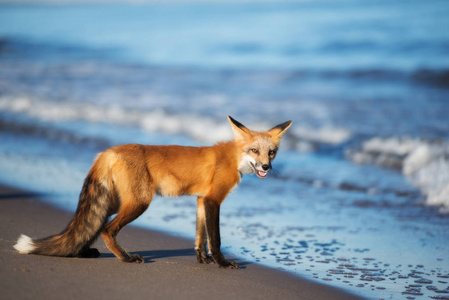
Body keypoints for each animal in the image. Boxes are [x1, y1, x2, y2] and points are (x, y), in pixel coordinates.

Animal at [13, 116, 290, 268]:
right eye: (254, 151)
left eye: (271, 152)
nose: (267, 167)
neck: (232, 159)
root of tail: (107, 152)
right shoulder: (213, 200)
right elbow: (216, 239)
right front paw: (221, 263)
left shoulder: (201, 200)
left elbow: (199, 237)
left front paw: (203, 260)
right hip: (139, 202)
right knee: (106, 229)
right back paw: (125, 258)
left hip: (115, 203)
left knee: (90, 226)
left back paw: (82, 252)